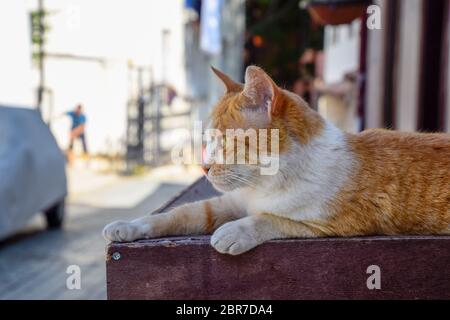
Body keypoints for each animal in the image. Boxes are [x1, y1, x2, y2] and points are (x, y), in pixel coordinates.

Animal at [103, 65, 450, 255]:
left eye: (227, 141)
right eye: (208, 140)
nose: (204, 166)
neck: (266, 185)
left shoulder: (330, 224)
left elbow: (271, 218)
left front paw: (235, 231)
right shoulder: (230, 202)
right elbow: (177, 214)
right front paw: (128, 225)